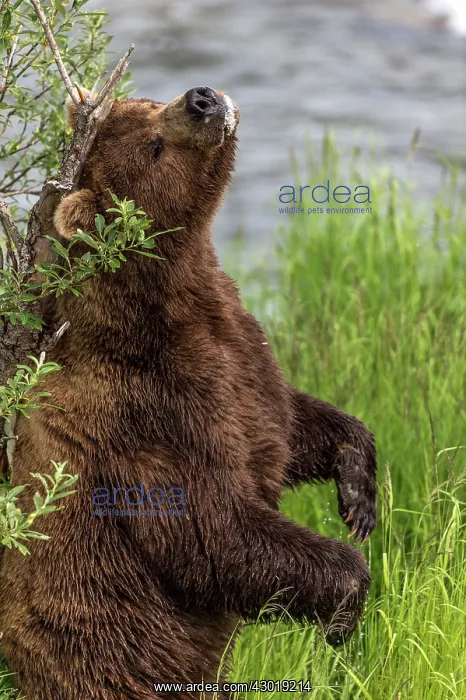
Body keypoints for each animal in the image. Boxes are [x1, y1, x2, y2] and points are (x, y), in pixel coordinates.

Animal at [0, 86, 377, 700]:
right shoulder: (151, 411)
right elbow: (215, 532)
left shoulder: (241, 353)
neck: (168, 295)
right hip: (109, 661)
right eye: (153, 146)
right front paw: (344, 611)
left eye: (145, 99)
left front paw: (358, 493)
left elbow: (287, 423)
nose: (201, 99)